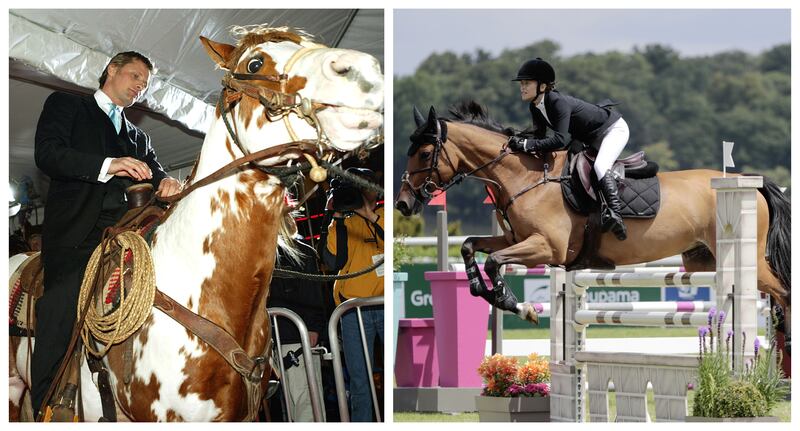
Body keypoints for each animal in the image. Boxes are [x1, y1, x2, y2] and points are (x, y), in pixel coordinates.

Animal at [396, 103, 792, 356]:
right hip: (701, 260)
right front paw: (484, 290)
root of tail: (749, 182)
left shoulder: (547, 248)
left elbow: (494, 260)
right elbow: (470, 245)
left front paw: (511, 302)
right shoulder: (514, 238)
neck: (524, 176)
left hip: (749, 261)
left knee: (783, 293)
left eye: (425, 152)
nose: (403, 204)